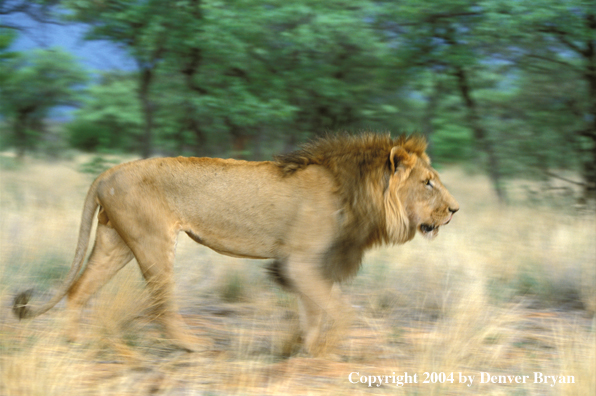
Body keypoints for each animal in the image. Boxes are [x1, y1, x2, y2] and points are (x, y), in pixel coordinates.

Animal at [15, 132, 460, 352]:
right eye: (428, 182)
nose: (455, 210)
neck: (355, 193)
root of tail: (107, 172)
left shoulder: (310, 265)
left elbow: (315, 310)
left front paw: (305, 348)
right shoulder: (298, 262)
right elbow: (339, 312)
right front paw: (326, 349)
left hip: (117, 241)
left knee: (79, 289)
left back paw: (74, 341)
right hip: (153, 241)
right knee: (161, 305)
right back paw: (192, 347)